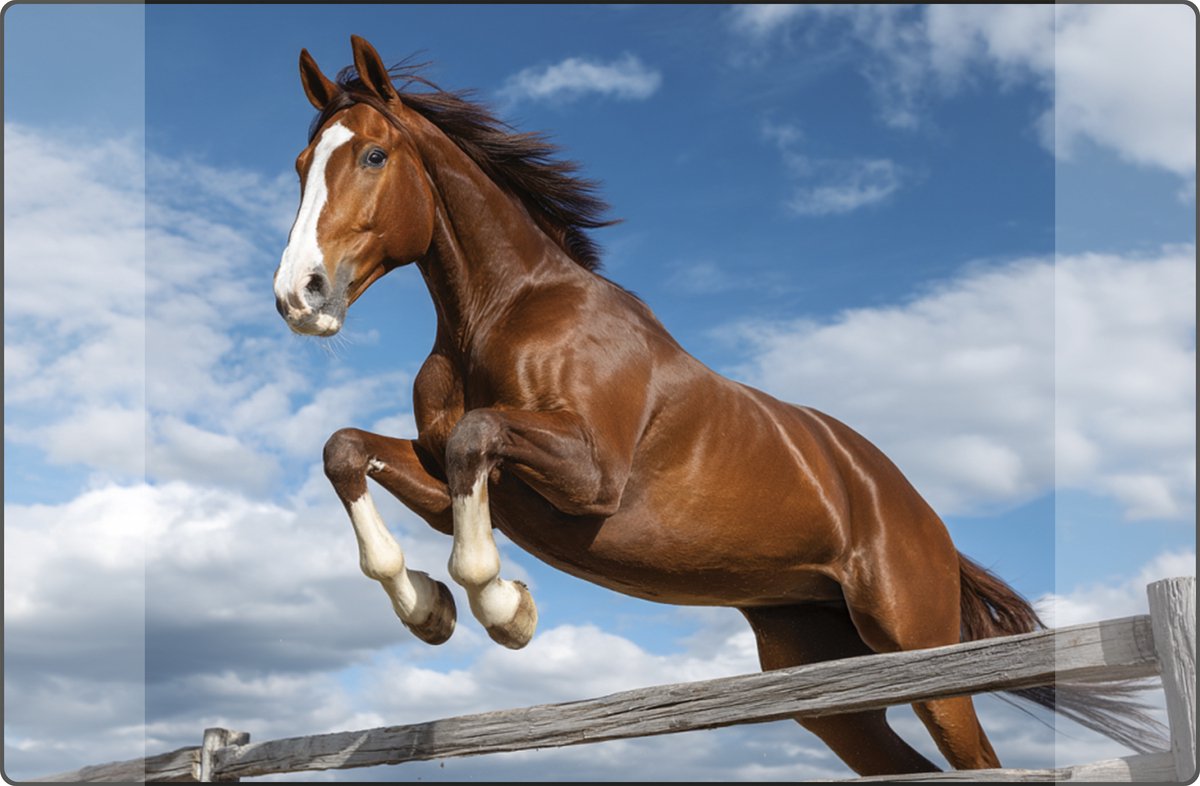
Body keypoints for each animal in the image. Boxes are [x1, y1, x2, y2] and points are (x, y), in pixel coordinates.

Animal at [272, 36, 1162, 775]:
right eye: (302, 162)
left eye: (375, 154)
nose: (298, 295)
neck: (500, 311)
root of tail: (923, 519)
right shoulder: (459, 481)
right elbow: (348, 449)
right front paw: (427, 609)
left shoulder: (588, 477)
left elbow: (476, 443)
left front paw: (506, 609)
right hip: (829, 686)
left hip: (920, 651)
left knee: (977, 759)